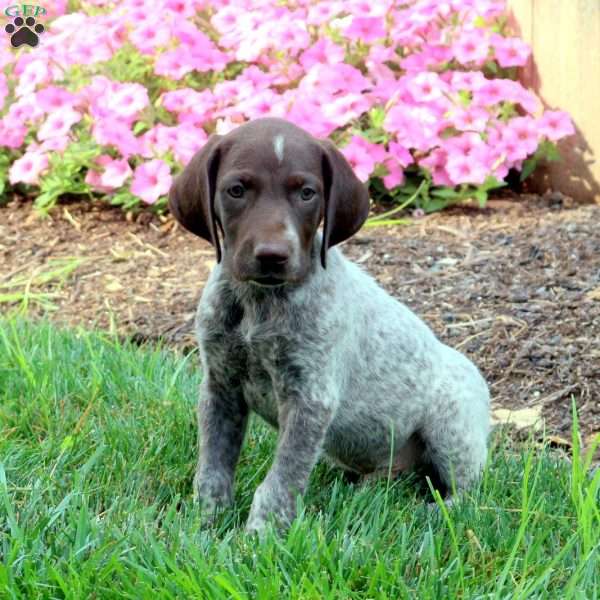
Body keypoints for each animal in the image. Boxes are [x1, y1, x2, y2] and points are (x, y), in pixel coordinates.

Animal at [168, 117, 488, 536]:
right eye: (236, 190)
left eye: (307, 193)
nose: (273, 256)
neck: (259, 303)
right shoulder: (221, 387)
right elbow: (212, 469)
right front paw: (204, 525)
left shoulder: (310, 397)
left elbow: (280, 481)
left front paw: (258, 538)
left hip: (451, 427)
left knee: (466, 491)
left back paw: (435, 512)